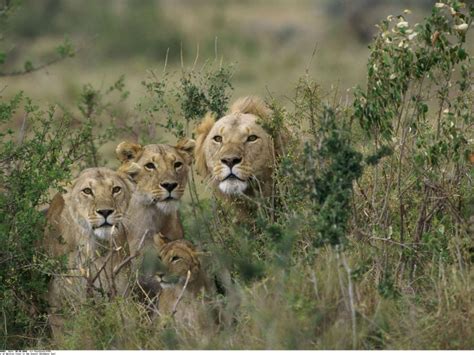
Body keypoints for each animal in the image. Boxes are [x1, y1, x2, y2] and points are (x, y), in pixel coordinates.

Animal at [44, 168, 135, 340]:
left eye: (116, 189)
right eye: (87, 191)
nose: (105, 211)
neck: (95, 246)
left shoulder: (121, 295)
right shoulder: (61, 307)